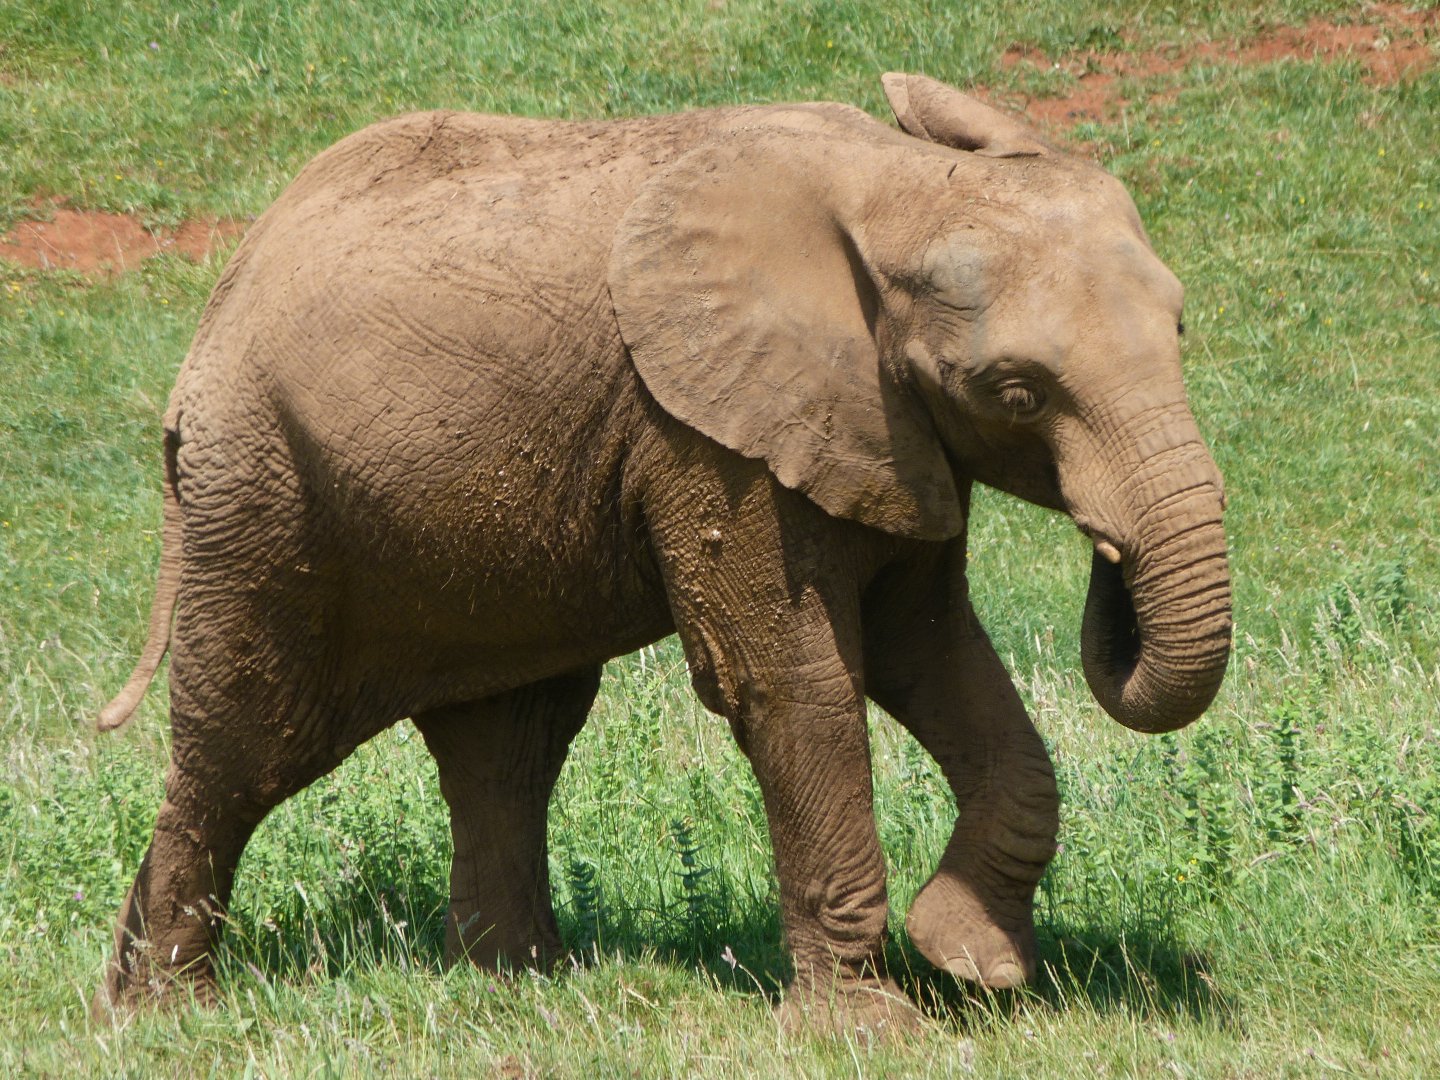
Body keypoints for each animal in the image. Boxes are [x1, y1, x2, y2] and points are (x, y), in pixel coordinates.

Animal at [95, 72, 1231, 1033]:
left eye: (1182, 332)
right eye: (1018, 392)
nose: (1110, 557)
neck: (894, 185)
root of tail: (221, 302)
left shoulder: (886, 428)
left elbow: (934, 657)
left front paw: (972, 965)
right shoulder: (708, 435)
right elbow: (794, 681)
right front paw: (869, 1028)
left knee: (509, 743)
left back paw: (521, 989)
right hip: (264, 492)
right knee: (242, 745)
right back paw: (168, 1012)